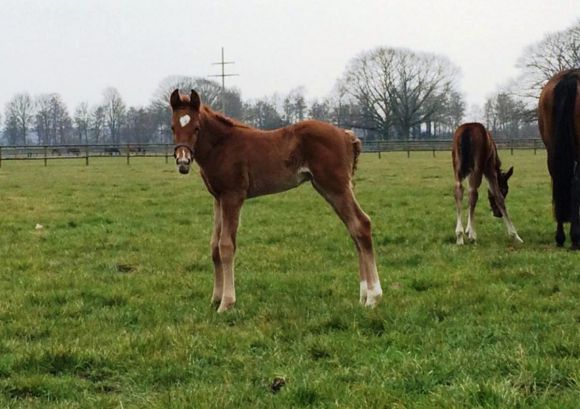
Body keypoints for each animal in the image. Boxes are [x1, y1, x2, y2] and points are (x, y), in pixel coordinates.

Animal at [170, 90, 382, 312]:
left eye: (196, 127)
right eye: (173, 127)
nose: (183, 162)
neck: (222, 145)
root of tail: (346, 135)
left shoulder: (233, 196)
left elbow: (226, 246)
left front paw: (227, 303)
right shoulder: (218, 199)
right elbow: (214, 246)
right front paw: (215, 299)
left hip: (336, 187)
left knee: (361, 224)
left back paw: (373, 297)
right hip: (329, 189)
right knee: (353, 229)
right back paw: (364, 296)